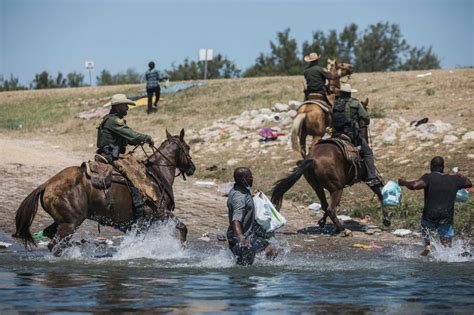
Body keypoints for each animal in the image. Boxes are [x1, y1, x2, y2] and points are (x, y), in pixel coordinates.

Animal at [13, 130, 194, 256]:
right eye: (187, 148)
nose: (192, 168)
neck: (156, 175)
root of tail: (47, 184)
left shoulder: (143, 224)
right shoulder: (161, 213)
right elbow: (183, 228)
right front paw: (181, 251)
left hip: (62, 221)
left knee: (51, 236)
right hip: (70, 223)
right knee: (56, 245)